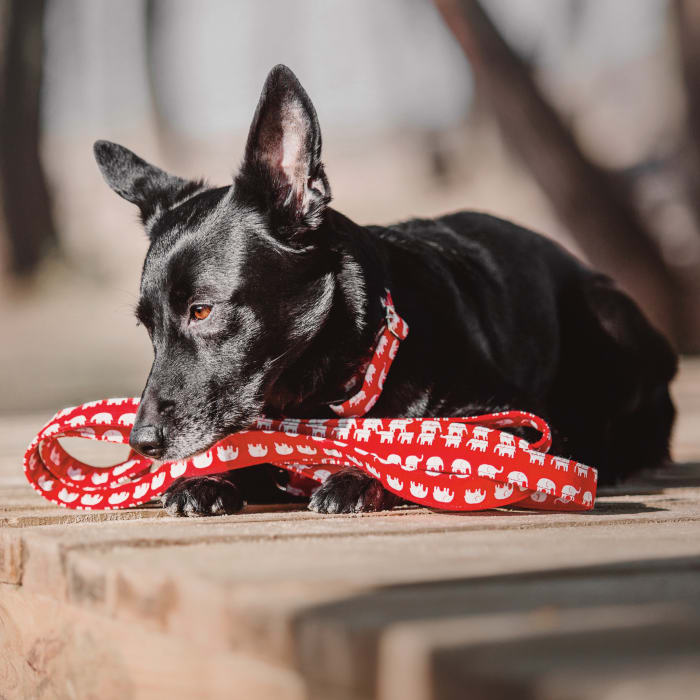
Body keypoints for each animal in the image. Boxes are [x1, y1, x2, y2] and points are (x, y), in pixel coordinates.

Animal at [91, 64, 672, 516]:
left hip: (609, 314)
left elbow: (425, 453)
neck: (322, 396)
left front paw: (360, 475)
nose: (142, 443)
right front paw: (203, 477)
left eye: (202, 310)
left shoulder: (517, 420)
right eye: (147, 326)